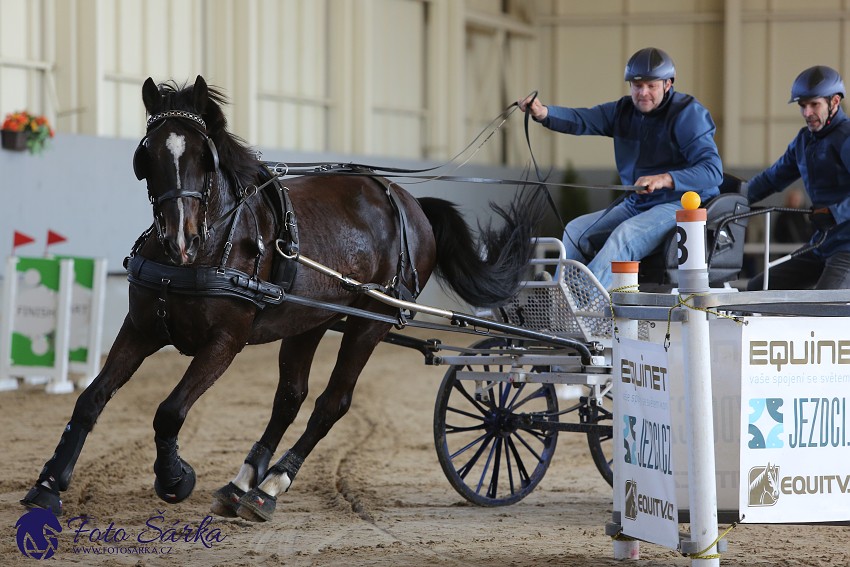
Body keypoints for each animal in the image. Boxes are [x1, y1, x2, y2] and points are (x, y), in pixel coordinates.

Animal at [24, 75, 544, 524]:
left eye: (203, 156)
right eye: (146, 155)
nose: (178, 239)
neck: (211, 246)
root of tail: (410, 203)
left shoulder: (225, 341)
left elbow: (169, 410)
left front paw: (175, 479)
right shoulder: (141, 328)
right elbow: (91, 399)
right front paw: (48, 485)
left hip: (370, 321)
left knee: (332, 402)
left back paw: (271, 486)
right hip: (309, 321)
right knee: (290, 398)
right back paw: (242, 485)